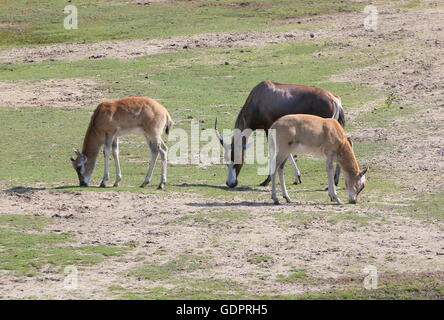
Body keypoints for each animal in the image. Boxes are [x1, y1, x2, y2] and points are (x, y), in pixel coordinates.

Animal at [217, 80, 346, 189]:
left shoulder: (269, 128)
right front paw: (297, 178)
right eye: (226, 160)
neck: (260, 96)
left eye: (237, 159)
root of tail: (334, 99)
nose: (230, 183)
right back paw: (335, 181)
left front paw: (266, 181)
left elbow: (273, 151)